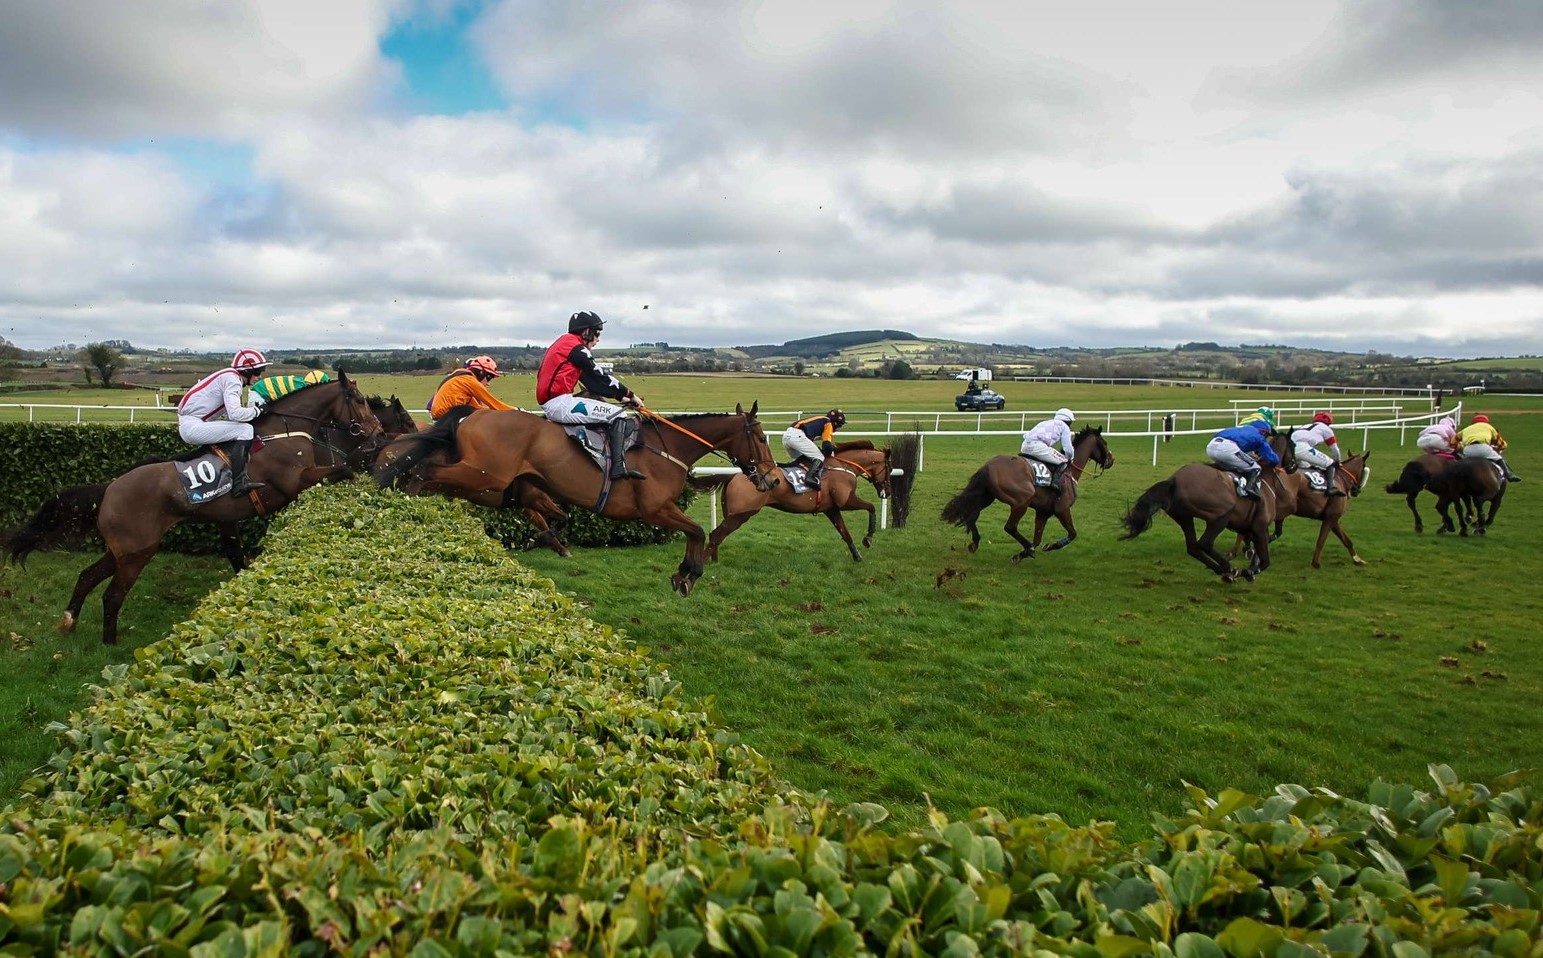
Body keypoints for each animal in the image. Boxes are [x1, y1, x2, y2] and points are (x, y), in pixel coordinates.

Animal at [9, 373, 382, 641]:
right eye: (360, 400)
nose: (377, 432)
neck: (284, 431)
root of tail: (109, 489)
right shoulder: (295, 481)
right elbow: (341, 469)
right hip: (138, 552)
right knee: (112, 596)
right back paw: (110, 646)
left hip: (122, 550)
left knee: (87, 576)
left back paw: (68, 621)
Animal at [374, 401, 783, 595]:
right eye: (762, 438)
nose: (773, 478)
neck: (667, 447)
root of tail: (470, 417)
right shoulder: (653, 509)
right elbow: (697, 530)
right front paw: (689, 574)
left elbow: (560, 518)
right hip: (484, 474)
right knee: (423, 472)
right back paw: (406, 506)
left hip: (480, 479)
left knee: (426, 473)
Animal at [697, 438, 907, 561]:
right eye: (889, 468)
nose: (887, 491)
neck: (843, 466)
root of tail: (733, 475)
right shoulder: (845, 501)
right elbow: (870, 507)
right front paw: (868, 539)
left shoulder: (831, 508)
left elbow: (845, 533)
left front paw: (857, 556)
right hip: (742, 514)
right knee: (716, 535)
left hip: (732, 512)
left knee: (716, 536)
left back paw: (714, 560)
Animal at [938, 425, 1110, 561]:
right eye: (1105, 443)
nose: (1111, 459)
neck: (1069, 472)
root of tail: (988, 466)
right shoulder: (1062, 509)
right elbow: (1072, 534)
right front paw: (1049, 546)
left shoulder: (1043, 512)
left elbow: (1038, 537)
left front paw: (1022, 554)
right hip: (1022, 501)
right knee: (1010, 527)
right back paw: (1028, 548)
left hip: (986, 496)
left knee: (971, 514)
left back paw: (975, 542)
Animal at [1123, 462, 1277, 583]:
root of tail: (1174, 480)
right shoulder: (1260, 529)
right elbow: (1265, 561)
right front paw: (1247, 572)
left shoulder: (1250, 530)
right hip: (1220, 515)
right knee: (1205, 543)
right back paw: (1229, 569)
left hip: (1184, 517)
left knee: (1193, 547)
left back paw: (1219, 568)